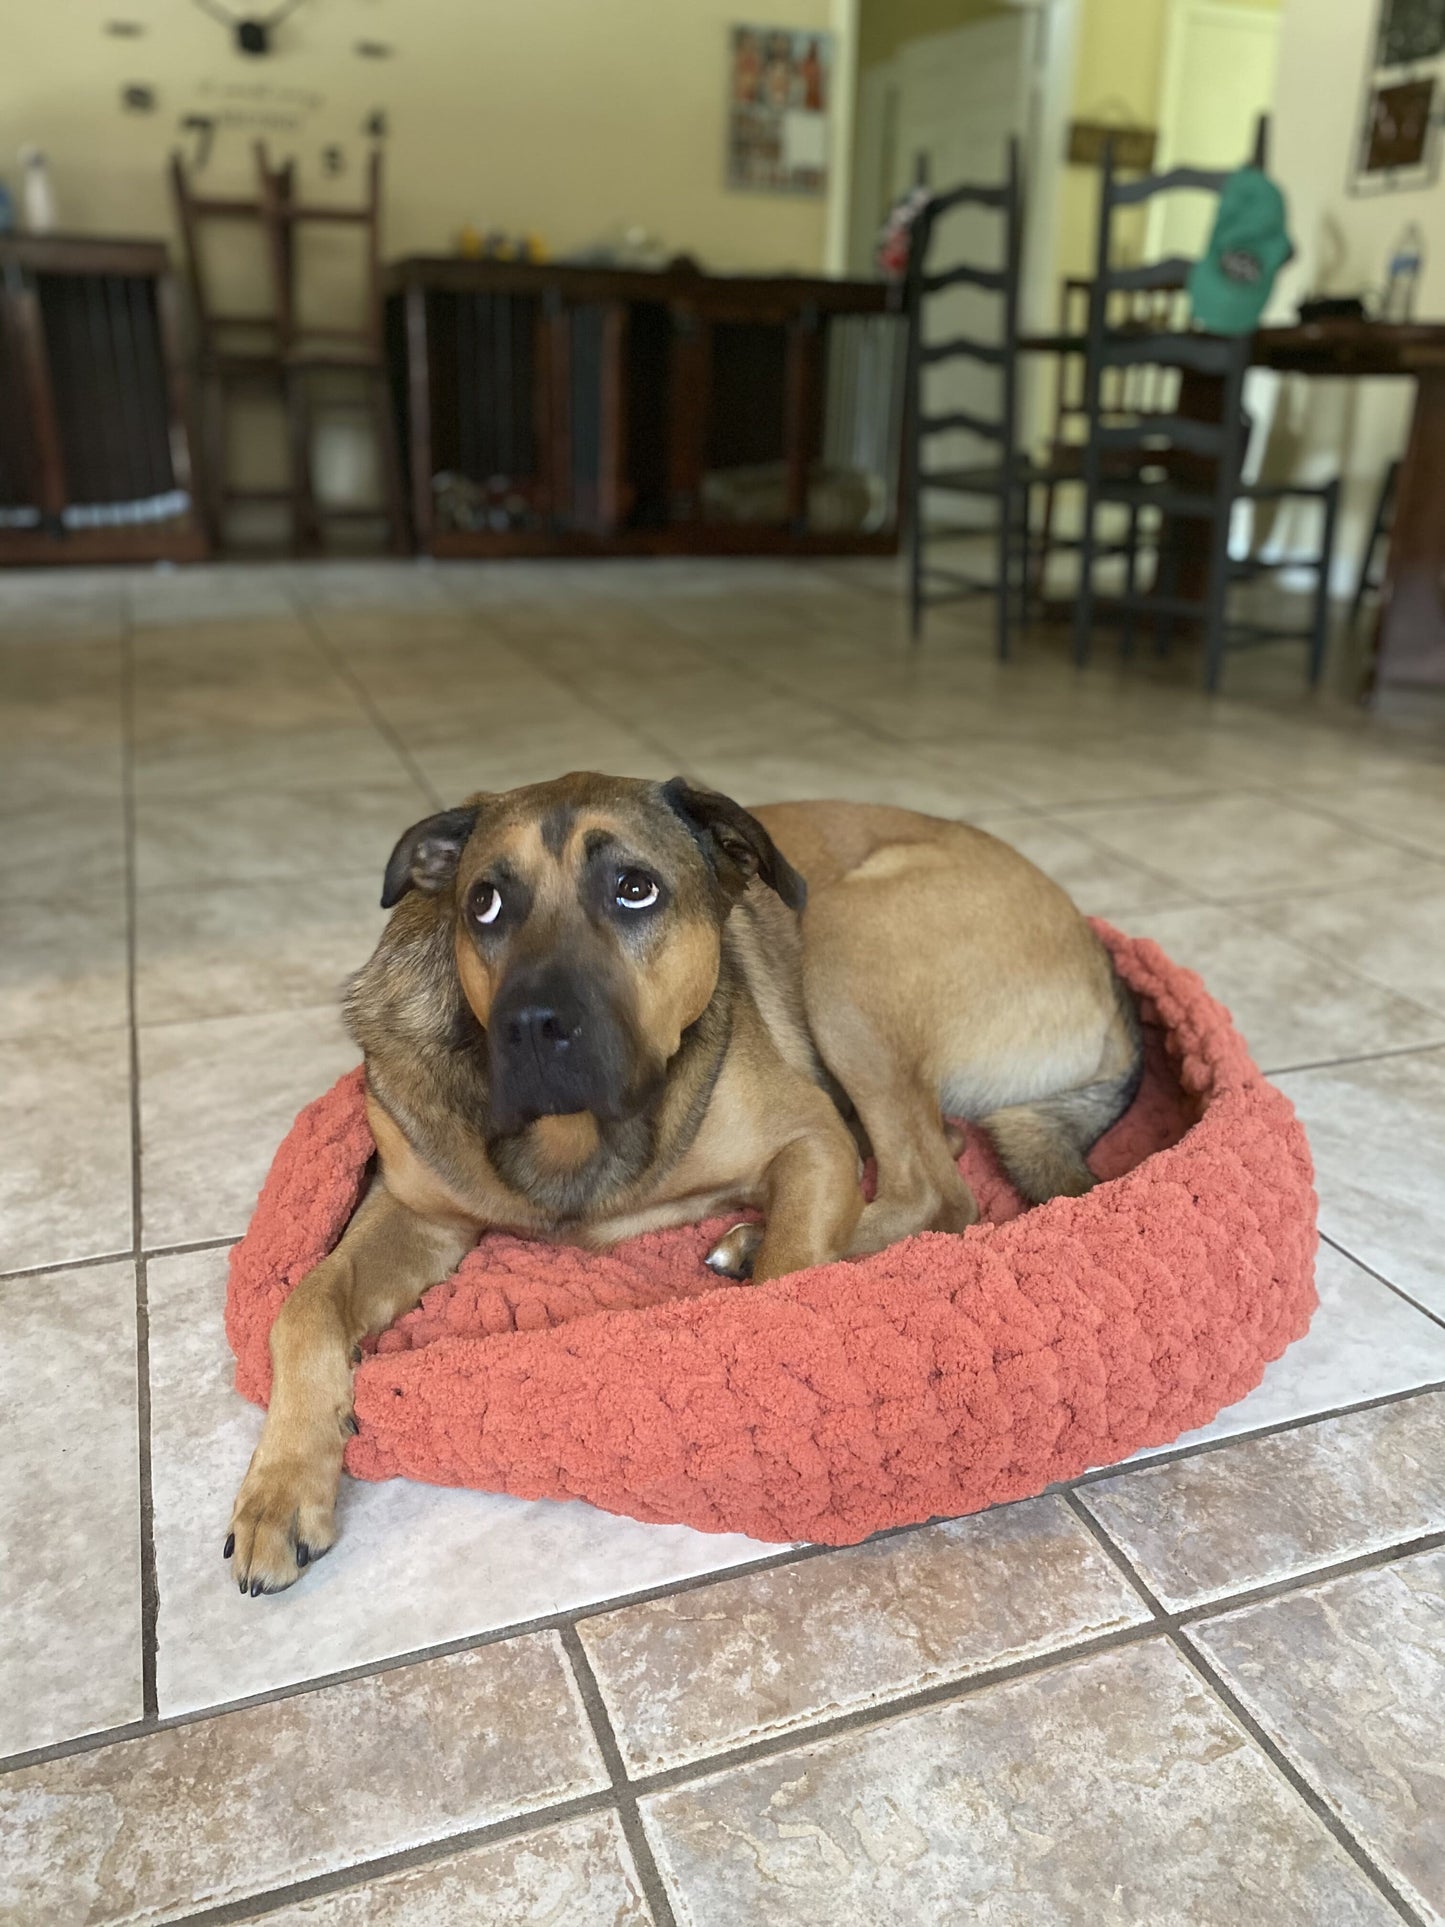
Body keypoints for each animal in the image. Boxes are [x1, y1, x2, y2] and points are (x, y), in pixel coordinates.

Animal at [226, 770, 1140, 1595]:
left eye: (635, 890)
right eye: (483, 903)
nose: (532, 1025)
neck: (572, 1137)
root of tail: (1102, 969)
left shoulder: (809, 1136)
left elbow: (789, 1280)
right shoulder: (414, 1212)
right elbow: (304, 1305)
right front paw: (279, 1490)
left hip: (846, 943)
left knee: (936, 1189)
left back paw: (755, 1237)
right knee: (936, 1154)